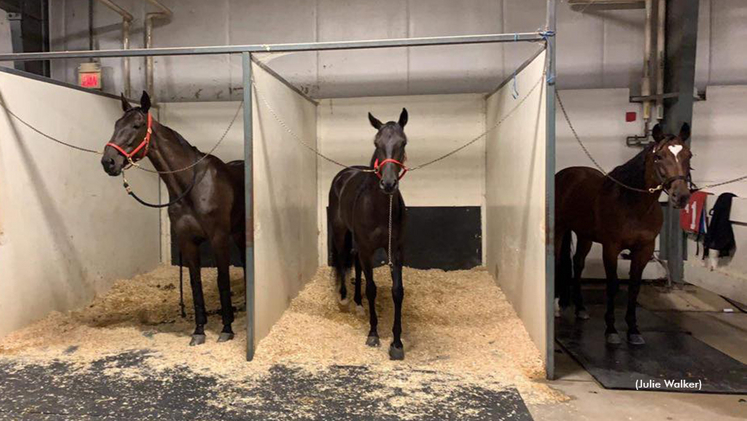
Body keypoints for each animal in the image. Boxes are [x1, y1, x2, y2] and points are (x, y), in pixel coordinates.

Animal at [99, 91, 244, 344]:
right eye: (116, 124)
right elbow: (194, 283)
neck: (191, 186)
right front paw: (199, 330)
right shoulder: (187, 241)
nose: (109, 162)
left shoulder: (218, 238)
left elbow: (222, 280)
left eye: (136, 125)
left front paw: (226, 329)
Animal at [328, 107, 410, 358]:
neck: (380, 206)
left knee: (355, 261)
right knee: (343, 258)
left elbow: (397, 291)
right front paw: (373, 334)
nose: (388, 184)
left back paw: (358, 302)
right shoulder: (367, 248)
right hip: (340, 232)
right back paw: (345, 298)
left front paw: (397, 343)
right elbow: (372, 288)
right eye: (376, 142)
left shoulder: (396, 250)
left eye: (403, 142)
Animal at [556, 122, 696, 344]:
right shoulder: (611, 247)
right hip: (559, 229)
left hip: (585, 236)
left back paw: (581, 309)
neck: (633, 205)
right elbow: (613, 285)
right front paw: (611, 330)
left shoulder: (644, 249)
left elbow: (634, 287)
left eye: (688, 155)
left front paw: (634, 330)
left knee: (578, 263)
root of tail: (564, 174)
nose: (680, 196)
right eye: (659, 156)